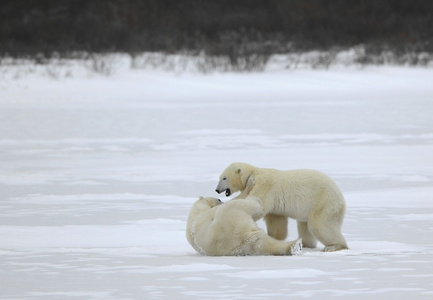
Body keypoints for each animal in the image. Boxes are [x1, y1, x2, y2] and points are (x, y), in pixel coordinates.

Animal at [215, 163, 348, 252]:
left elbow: (259, 205)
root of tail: (341, 198)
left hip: (323, 202)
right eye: (220, 177)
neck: (255, 172)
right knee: (304, 226)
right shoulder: (275, 206)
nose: (217, 190)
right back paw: (307, 244)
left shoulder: (265, 185)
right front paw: (275, 237)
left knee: (321, 226)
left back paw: (334, 246)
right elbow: (277, 221)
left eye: (224, 178)